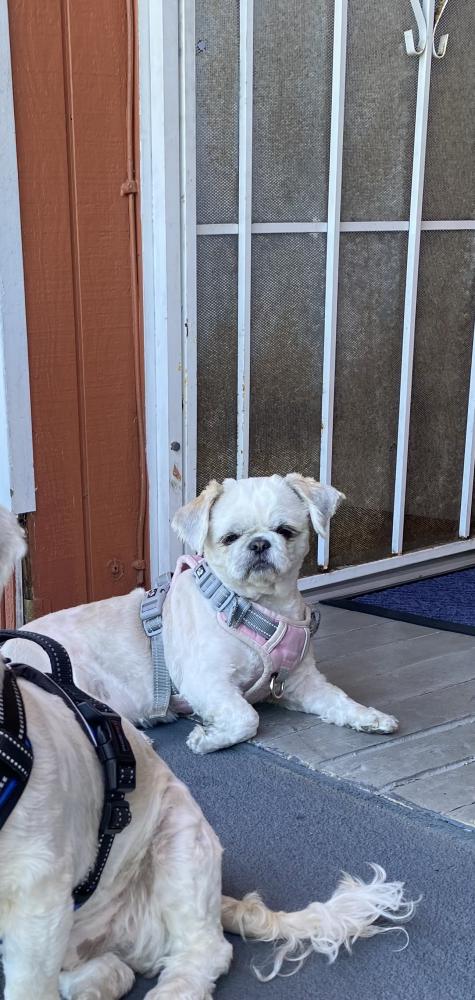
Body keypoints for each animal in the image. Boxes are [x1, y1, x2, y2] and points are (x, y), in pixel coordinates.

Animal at [7, 475, 398, 755]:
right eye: (230, 538)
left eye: (285, 531)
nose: (259, 543)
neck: (254, 608)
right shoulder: (204, 681)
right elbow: (247, 717)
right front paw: (208, 739)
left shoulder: (302, 682)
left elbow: (337, 699)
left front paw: (369, 717)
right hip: (69, 678)